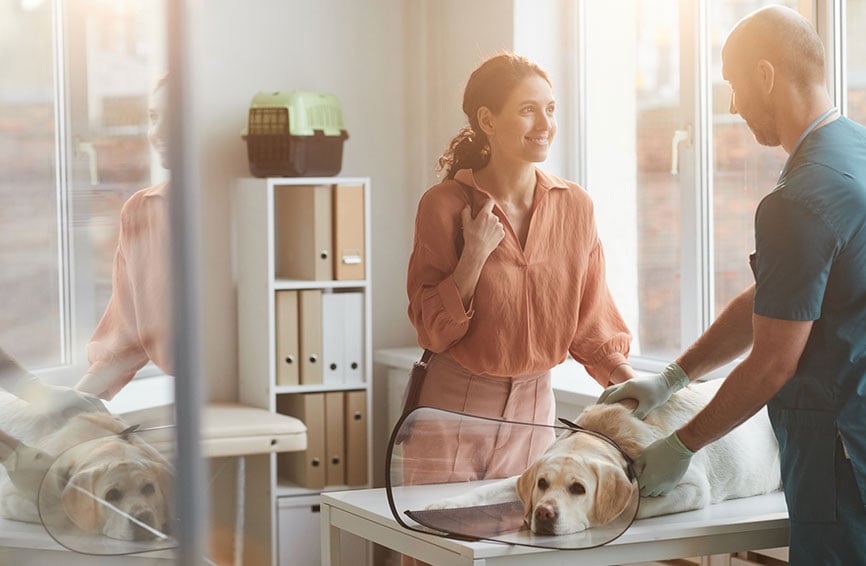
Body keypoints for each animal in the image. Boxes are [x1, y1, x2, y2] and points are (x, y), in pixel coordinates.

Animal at [428, 382, 780, 536]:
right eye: (542, 484)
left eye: (578, 489)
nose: (543, 514)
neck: (607, 436)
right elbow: (486, 490)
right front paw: (445, 505)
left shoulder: (693, 489)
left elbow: (636, 506)